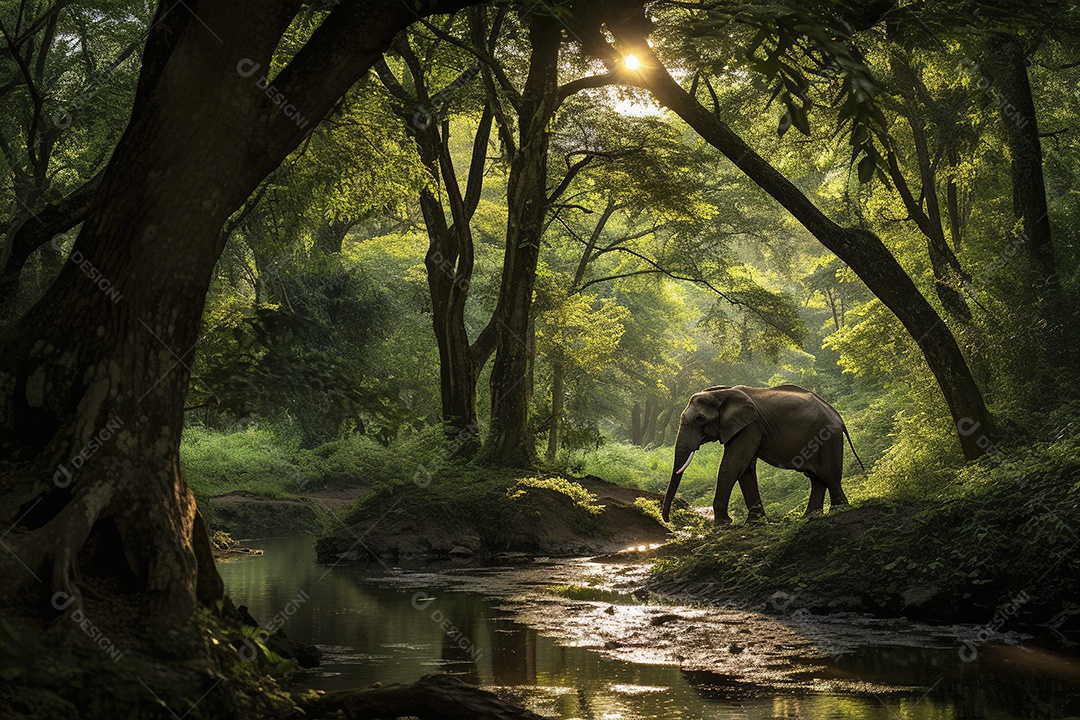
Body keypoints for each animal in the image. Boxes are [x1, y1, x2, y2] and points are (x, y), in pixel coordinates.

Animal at [661, 384, 865, 524]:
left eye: (700, 418)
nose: (668, 520)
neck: (723, 392)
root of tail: (838, 417)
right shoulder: (747, 428)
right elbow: (746, 469)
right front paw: (755, 522)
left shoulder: (750, 426)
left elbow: (732, 465)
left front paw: (723, 523)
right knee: (817, 477)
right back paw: (810, 516)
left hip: (827, 437)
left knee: (829, 474)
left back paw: (838, 510)